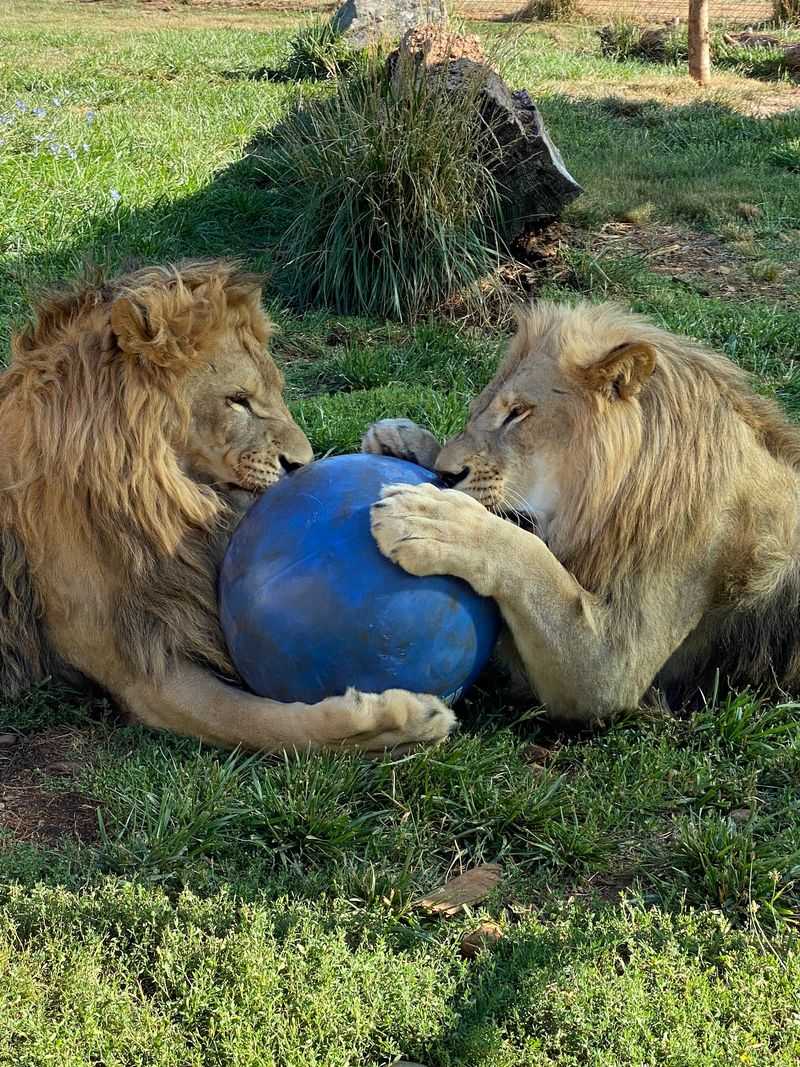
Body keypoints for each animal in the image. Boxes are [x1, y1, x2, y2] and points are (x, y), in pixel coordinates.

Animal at [0, 260, 454, 751]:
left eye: (277, 393)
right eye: (238, 400)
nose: (303, 463)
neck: (171, 499)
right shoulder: (139, 672)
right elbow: (267, 724)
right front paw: (403, 718)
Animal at [364, 299, 800, 722]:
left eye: (518, 412)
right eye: (476, 411)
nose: (446, 472)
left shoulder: (613, 666)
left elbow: (531, 559)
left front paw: (433, 519)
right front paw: (401, 440)